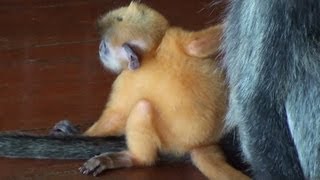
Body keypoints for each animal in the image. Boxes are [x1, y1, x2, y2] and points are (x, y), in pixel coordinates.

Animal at [79, 1, 249, 180]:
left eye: (105, 47)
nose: (99, 48)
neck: (152, 54)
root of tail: (201, 143)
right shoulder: (173, 38)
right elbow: (197, 45)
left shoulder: (126, 79)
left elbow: (115, 116)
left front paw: (78, 135)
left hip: (171, 142)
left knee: (142, 107)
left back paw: (133, 159)